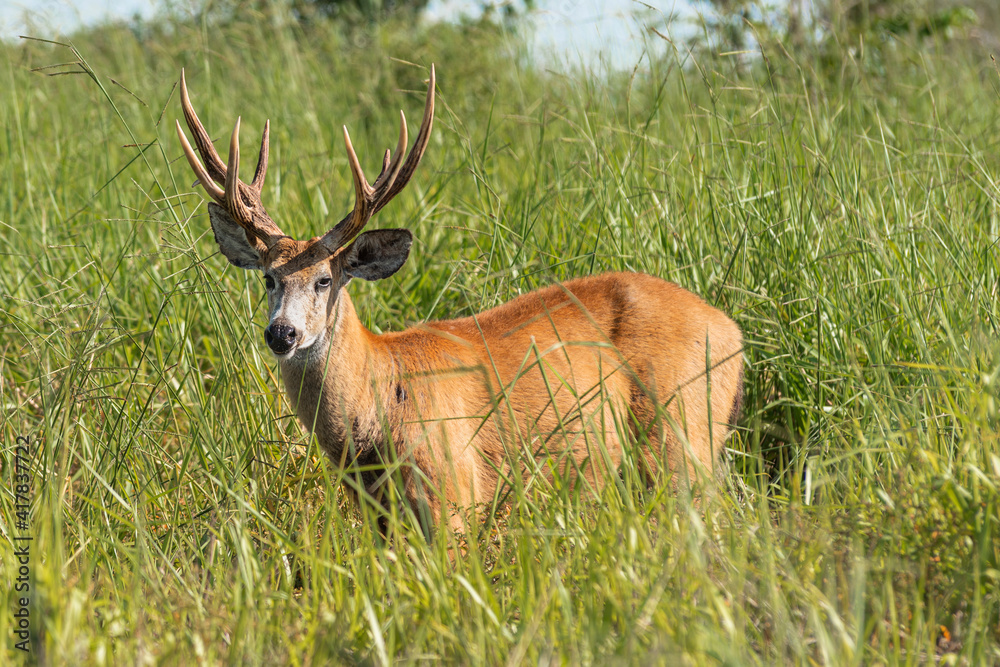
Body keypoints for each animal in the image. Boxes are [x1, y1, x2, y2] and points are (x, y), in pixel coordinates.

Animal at [178, 66, 744, 536]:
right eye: (268, 279)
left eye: (324, 280)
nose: (282, 333)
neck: (378, 403)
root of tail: (731, 331)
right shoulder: (379, 514)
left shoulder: (455, 491)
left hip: (680, 435)